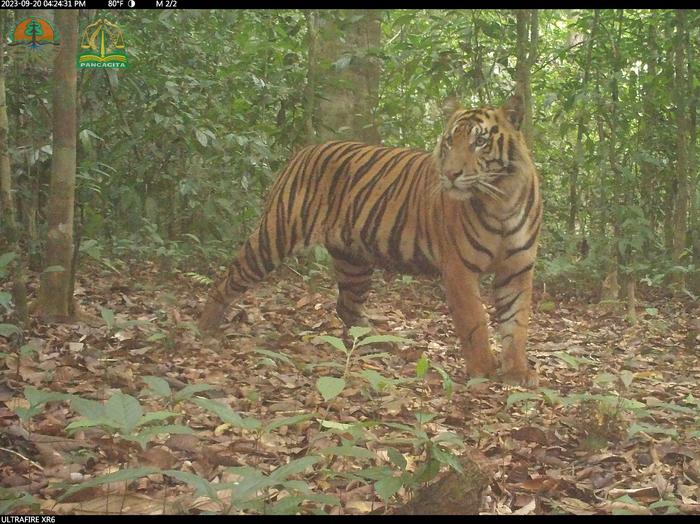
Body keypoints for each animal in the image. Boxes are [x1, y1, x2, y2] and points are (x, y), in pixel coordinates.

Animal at [198, 94, 542, 386]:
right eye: (449, 141)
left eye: (480, 141)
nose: (450, 174)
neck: (501, 199)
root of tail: (306, 150)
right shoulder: (459, 269)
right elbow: (475, 322)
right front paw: (483, 371)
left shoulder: (517, 270)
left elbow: (516, 324)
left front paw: (517, 373)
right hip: (275, 236)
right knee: (228, 278)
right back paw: (205, 328)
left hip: (354, 261)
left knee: (346, 306)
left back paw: (379, 344)